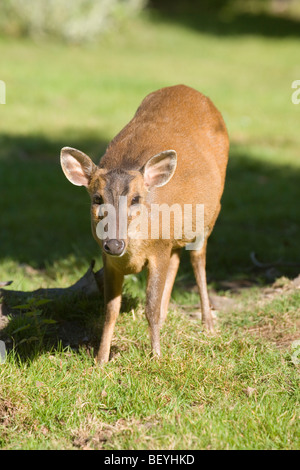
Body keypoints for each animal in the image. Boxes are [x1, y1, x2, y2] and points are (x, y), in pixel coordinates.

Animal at [61, 84, 230, 364]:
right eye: (97, 198)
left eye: (136, 199)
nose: (114, 244)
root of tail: (189, 89)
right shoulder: (110, 260)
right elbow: (110, 309)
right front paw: (100, 360)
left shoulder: (158, 250)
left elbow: (149, 306)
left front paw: (157, 356)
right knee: (177, 260)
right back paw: (167, 318)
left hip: (209, 216)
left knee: (198, 260)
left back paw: (208, 324)